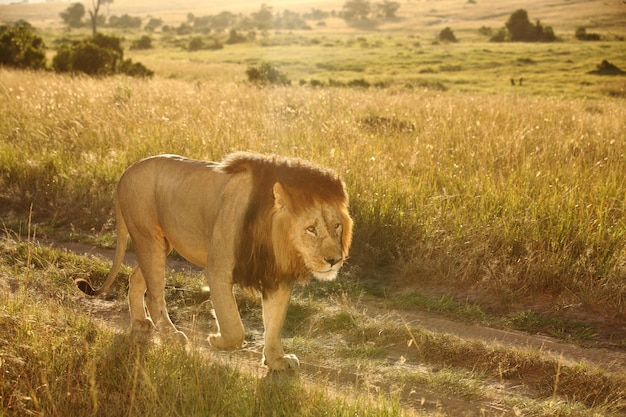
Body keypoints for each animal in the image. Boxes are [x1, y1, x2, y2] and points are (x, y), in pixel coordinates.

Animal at [74, 152, 352, 370]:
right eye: (311, 229)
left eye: (336, 226)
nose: (334, 260)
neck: (273, 240)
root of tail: (127, 170)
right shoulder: (219, 269)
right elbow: (234, 327)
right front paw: (215, 340)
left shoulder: (277, 278)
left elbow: (274, 324)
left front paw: (276, 361)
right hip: (148, 238)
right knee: (154, 295)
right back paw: (172, 336)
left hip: (159, 245)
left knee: (136, 279)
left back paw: (141, 324)